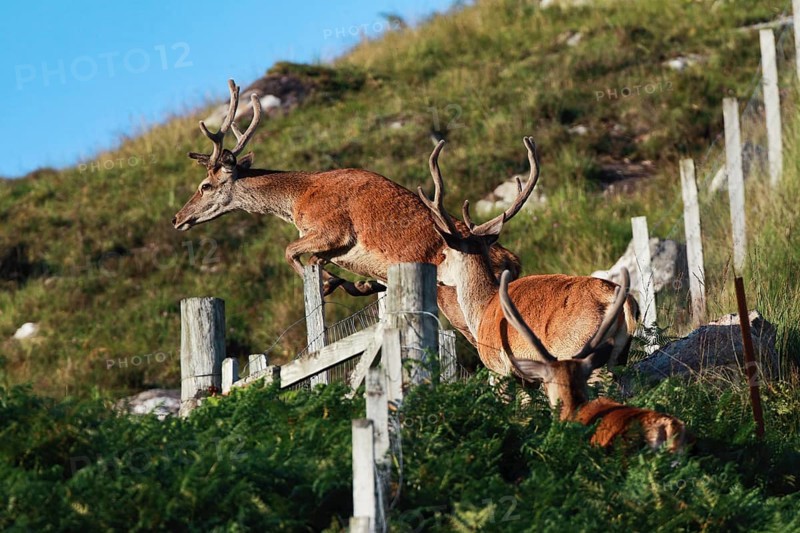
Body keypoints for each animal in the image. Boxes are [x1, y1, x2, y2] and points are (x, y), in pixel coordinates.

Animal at [171, 79, 520, 345]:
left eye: (205, 185)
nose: (176, 218)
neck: (297, 200)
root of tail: (513, 261)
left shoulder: (333, 230)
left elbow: (290, 251)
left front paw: (330, 284)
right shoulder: (336, 248)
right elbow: (317, 261)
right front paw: (358, 285)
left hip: (456, 302)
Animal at [417, 138, 639, 375]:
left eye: (444, 253)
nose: (437, 274)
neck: (482, 311)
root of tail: (623, 302)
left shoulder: (499, 366)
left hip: (577, 347)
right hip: (619, 355)